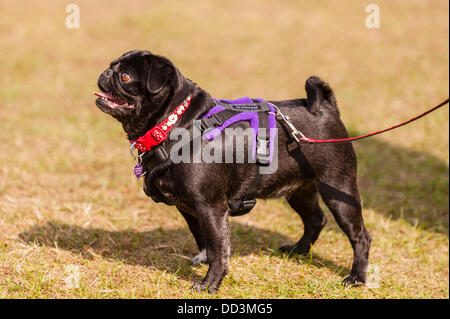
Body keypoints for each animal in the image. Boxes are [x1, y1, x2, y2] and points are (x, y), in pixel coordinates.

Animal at [94, 50, 370, 296]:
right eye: (112, 66)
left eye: (125, 77)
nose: (106, 72)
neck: (174, 124)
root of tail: (323, 107)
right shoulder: (190, 208)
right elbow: (204, 240)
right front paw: (204, 262)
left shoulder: (211, 208)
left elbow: (219, 248)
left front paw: (209, 284)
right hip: (299, 192)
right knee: (315, 220)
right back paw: (298, 250)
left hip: (338, 189)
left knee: (360, 236)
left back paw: (356, 277)